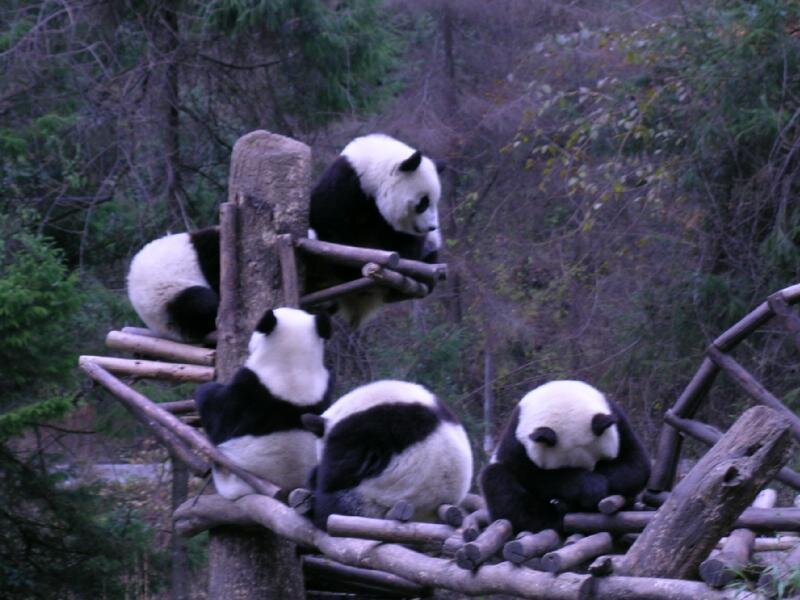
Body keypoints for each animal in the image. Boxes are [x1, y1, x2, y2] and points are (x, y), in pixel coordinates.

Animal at [195, 307, 333, 499]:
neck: (293, 365)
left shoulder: (247, 390)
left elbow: (218, 421)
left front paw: (204, 390)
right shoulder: (326, 388)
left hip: (231, 474)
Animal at [306, 134, 445, 327]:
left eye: (434, 201)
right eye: (423, 203)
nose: (432, 226)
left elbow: (407, 244)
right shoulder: (343, 185)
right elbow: (330, 227)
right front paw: (351, 270)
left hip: (431, 246)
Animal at [480, 380, 650, 533]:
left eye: (601, 462)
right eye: (566, 468)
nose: (586, 506)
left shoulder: (618, 422)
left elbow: (636, 465)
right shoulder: (519, 446)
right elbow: (536, 479)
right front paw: (590, 487)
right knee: (500, 485)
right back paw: (556, 513)